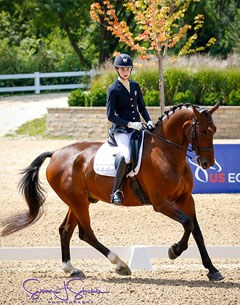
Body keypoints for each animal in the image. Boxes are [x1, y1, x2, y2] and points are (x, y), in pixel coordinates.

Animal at [0, 101, 224, 280]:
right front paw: (174, 250)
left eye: (214, 130)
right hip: (78, 202)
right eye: (202, 132)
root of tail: (55, 153)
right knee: (87, 234)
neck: (166, 152)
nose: (207, 163)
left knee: (65, 230)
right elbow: (187, 224)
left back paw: (71, 269)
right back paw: (120, 265)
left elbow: (196, 231)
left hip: (78, 201)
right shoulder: (162, 203)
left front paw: (212, 270)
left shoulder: (186, 199)